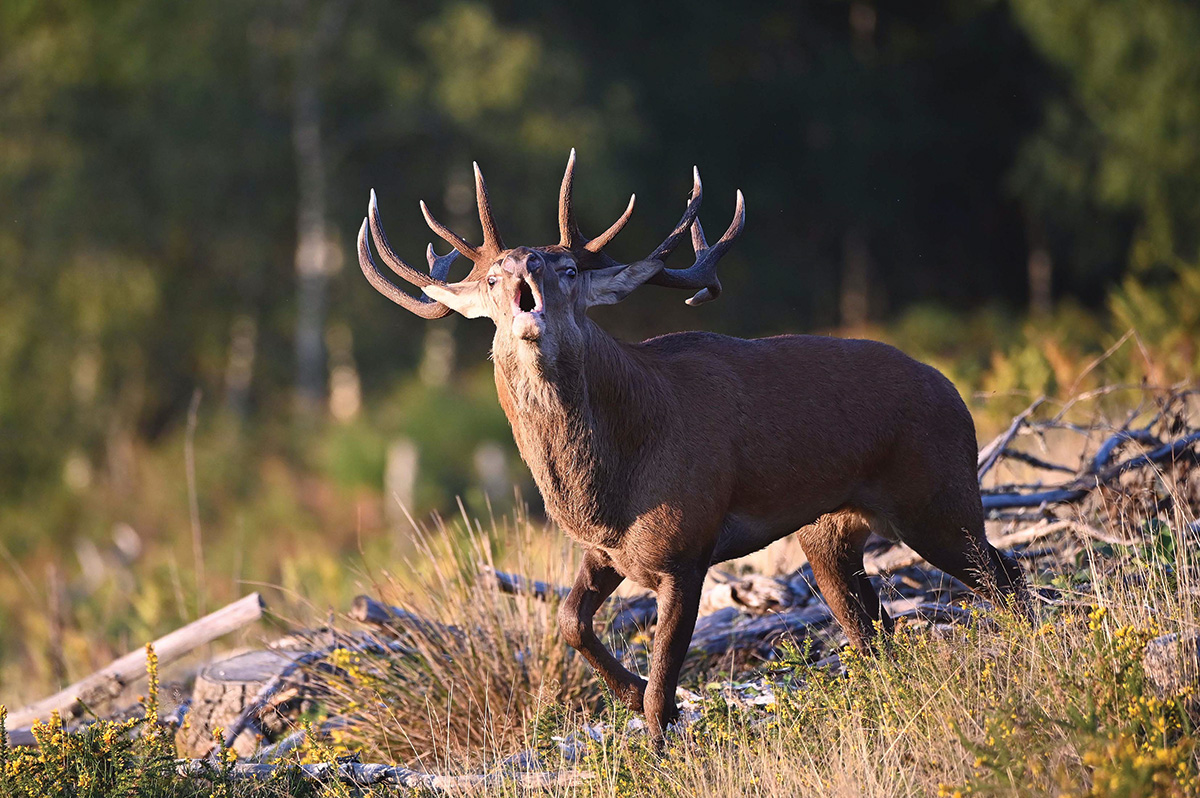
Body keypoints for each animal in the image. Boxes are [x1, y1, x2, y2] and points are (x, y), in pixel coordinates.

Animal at [356, 151, 1030, 742]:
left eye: (567, 270)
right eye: (494, 277)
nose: (526, 272)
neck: (607, 487)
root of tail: (955, 392)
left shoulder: (686, 550)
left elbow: (662, 684)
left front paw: (661, 739)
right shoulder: (608, 551)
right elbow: (571, 622)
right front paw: (627, 694)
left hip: (937, 495)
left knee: (1007, 576)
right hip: (830, 533)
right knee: (875, 631)